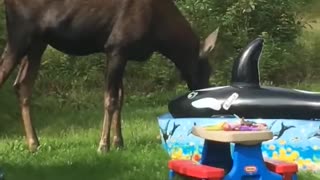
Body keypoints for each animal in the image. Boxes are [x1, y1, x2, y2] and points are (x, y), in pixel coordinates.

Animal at [0, 0, 219, 153]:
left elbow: (120, 99)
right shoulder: (115, 47)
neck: (161, 36)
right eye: (206, 70)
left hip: (38, 43)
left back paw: (34, 143)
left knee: (22, 85)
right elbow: (111, 100)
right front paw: (103, 145)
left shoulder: (123, 53)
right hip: (20, 35)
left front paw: (118, 142)